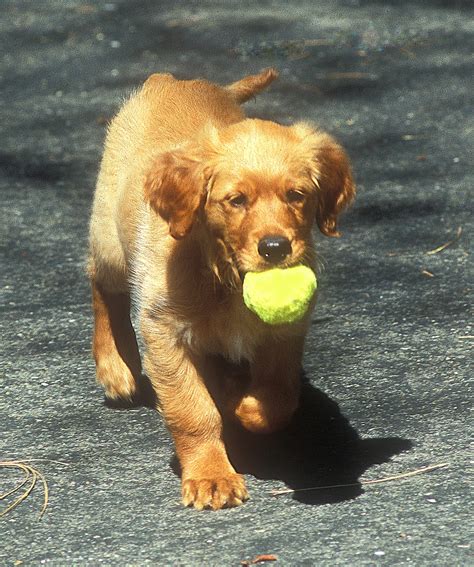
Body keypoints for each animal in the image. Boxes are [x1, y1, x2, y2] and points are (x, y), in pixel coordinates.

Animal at [89, 69, 356, 512]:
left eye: (296, 195)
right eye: (236, 200)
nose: (275, 248)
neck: (225, 274)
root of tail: (172, 79)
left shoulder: (284, 334)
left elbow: (278, 398)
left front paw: (239, 403)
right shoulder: (163, 331)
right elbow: (193, 411)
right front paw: (211, 475)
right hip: (110, 241)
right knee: (101, 285)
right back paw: (114, 366)